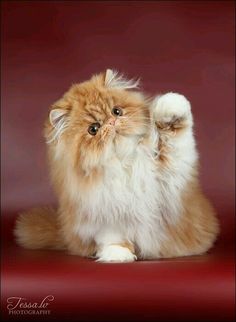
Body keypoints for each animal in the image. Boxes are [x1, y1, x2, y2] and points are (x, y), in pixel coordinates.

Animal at [13, 68, 218, 262]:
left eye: (116, 111)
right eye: (93, 129)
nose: (112, 122)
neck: (124, 162)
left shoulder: (171, 175)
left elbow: (174, 138)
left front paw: (171, 104)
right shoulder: (102, 211)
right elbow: (113, 237)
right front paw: (117, 255)